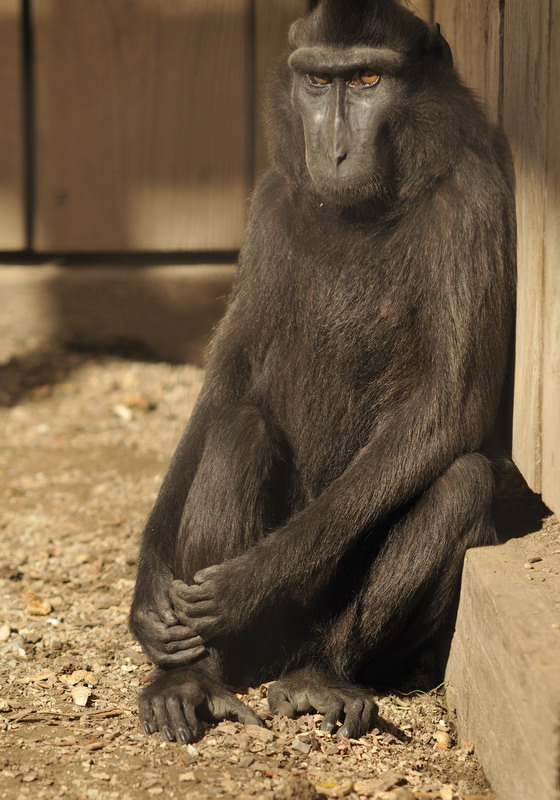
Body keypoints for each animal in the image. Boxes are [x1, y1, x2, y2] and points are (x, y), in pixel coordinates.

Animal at [129, 0, 516, 744]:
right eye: (316, 81)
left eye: (367, 79)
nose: (333, 150)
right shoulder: (271, 200)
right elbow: (226, 383)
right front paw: (147, 590)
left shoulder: (472, 202)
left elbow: (448, 409)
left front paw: (247, 579)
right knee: (238, 428)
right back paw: (194, 678)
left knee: (462, 484)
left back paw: (321, 676)